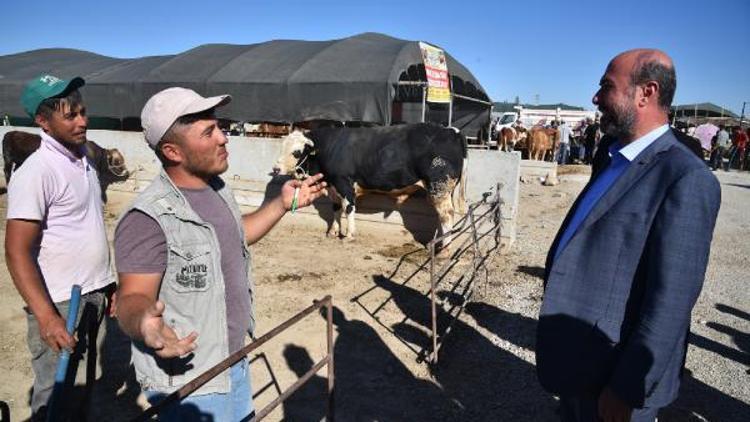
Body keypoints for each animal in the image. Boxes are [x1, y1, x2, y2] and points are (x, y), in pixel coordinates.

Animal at [274, 122, 468, 247]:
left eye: (296, 152)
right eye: (282, 147)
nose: (275, 169)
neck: (329, 148)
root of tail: (451, 130)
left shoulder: (344, 183)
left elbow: (348, 209)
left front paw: (349, 235)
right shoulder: (334, 187)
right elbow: (336, 209)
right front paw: (333, 232)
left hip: (439, 186)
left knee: (446, 215)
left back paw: (443, 250)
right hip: (443, 189)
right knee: (443, 216)